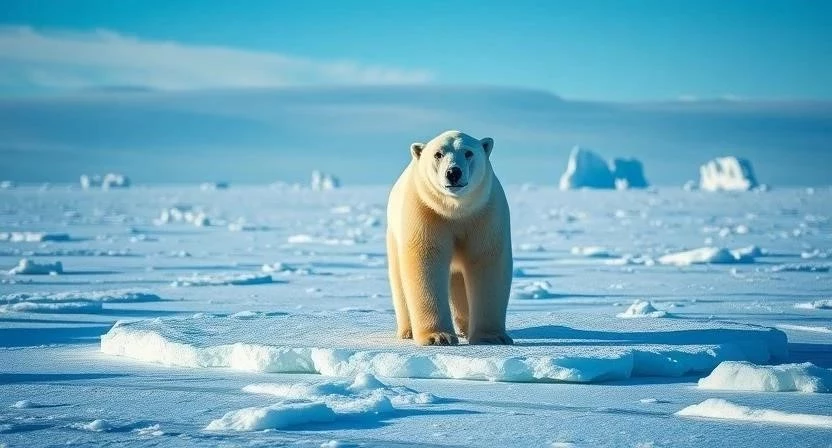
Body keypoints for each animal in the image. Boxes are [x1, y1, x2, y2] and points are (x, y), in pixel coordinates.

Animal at [386, 130, 513, 346]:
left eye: (468, 152)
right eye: (438, 154)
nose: (453, 172)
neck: (454, 210)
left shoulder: (486, 213)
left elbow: (487, 261)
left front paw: (491, 337)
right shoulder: (426, 211)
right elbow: (426, 260)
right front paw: (438, 336)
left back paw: (464, 328)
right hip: (394, 235)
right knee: (399, 282)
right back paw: (408, 331)